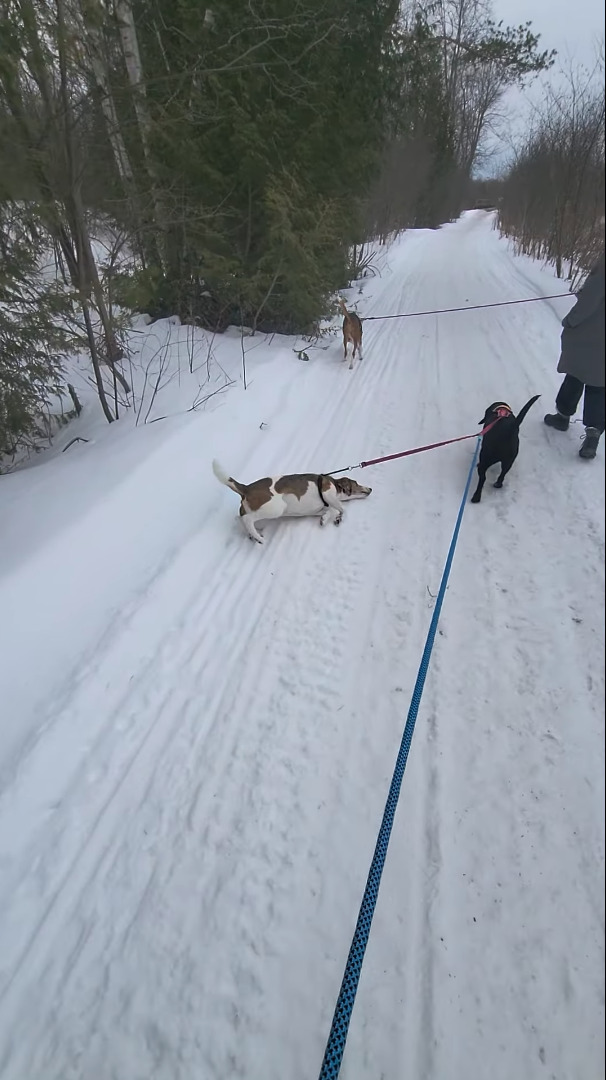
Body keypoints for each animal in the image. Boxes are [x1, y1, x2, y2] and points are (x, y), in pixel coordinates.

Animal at [212, 462, 373, 548]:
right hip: (276, 508)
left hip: (256, 511)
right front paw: (338, 517)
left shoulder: (317, 509)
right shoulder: (328, 493)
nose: (370, 489)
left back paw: (255, 535)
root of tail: (246, 488)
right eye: (356, 483)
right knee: (246, 519)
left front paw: (326, 518)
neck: (335, 485)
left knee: (241, 518)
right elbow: (341, 508)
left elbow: (330, 510)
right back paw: (259, 537)